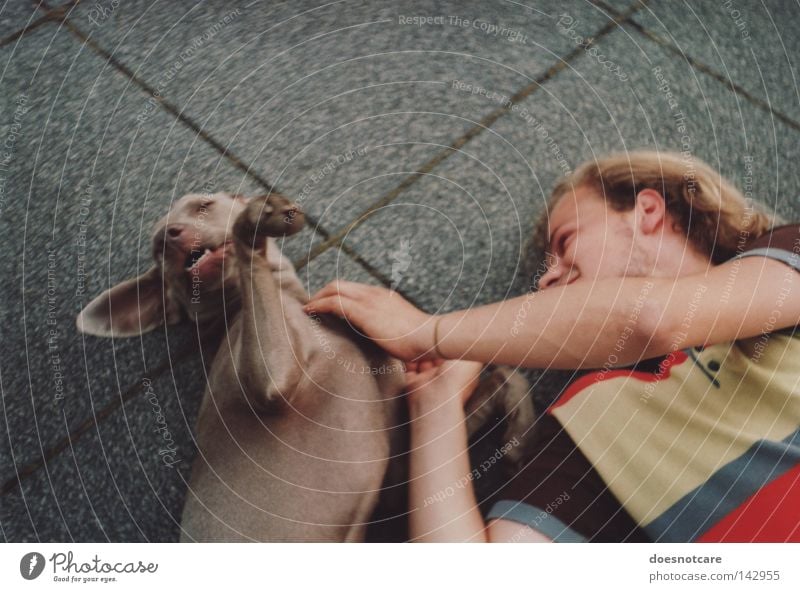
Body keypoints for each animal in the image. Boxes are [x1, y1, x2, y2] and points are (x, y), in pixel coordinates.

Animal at [78, 191, 536, 540]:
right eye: (158, 249)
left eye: (202, 205)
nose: (170, 237)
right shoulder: (268, 382)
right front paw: (254, 220)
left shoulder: (398, 476)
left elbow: (507, 375)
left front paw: (520, 436)